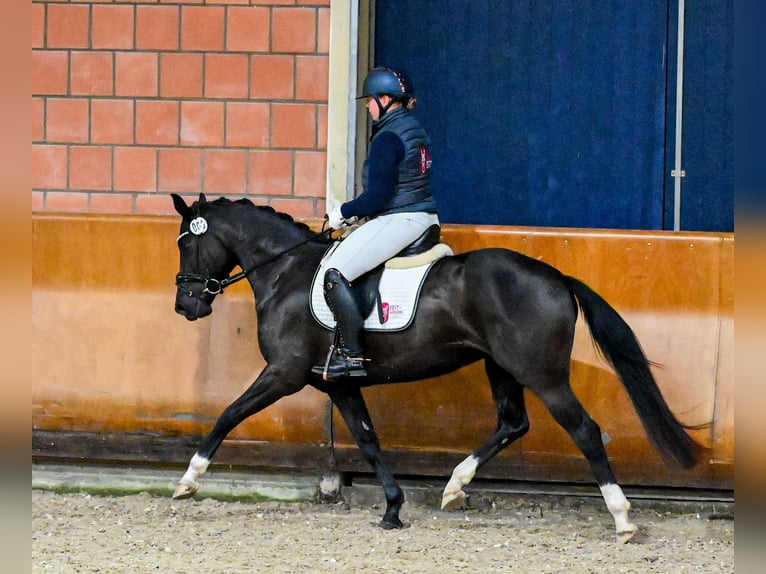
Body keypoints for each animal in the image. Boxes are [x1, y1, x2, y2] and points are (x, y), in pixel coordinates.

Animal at [171, 196, 704, 544]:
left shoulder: (284, 373)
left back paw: (623, 519)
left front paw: (188, 481)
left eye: (186, 245)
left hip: (542, 374)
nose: (185, 306)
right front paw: (392, 509)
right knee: (513, 422)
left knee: (586, 431)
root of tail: (554, 276)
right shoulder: (337, 383)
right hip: (500, 366)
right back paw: (454, 486)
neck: (286, 273)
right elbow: (368, 440)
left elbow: (228, 414)